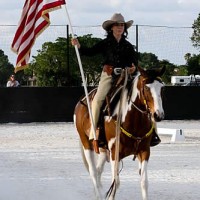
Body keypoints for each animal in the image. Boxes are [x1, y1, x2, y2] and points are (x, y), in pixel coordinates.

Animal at [73, 66, 166, 199]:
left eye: (162, 88)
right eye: (147, 88)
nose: (158, 115)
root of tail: (82, 100)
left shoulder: (144, 151)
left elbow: (144, 182)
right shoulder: (114, 153)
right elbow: (115, 184)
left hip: (103, 149)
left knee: (98, 170)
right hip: (86, 143)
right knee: (93, 172)